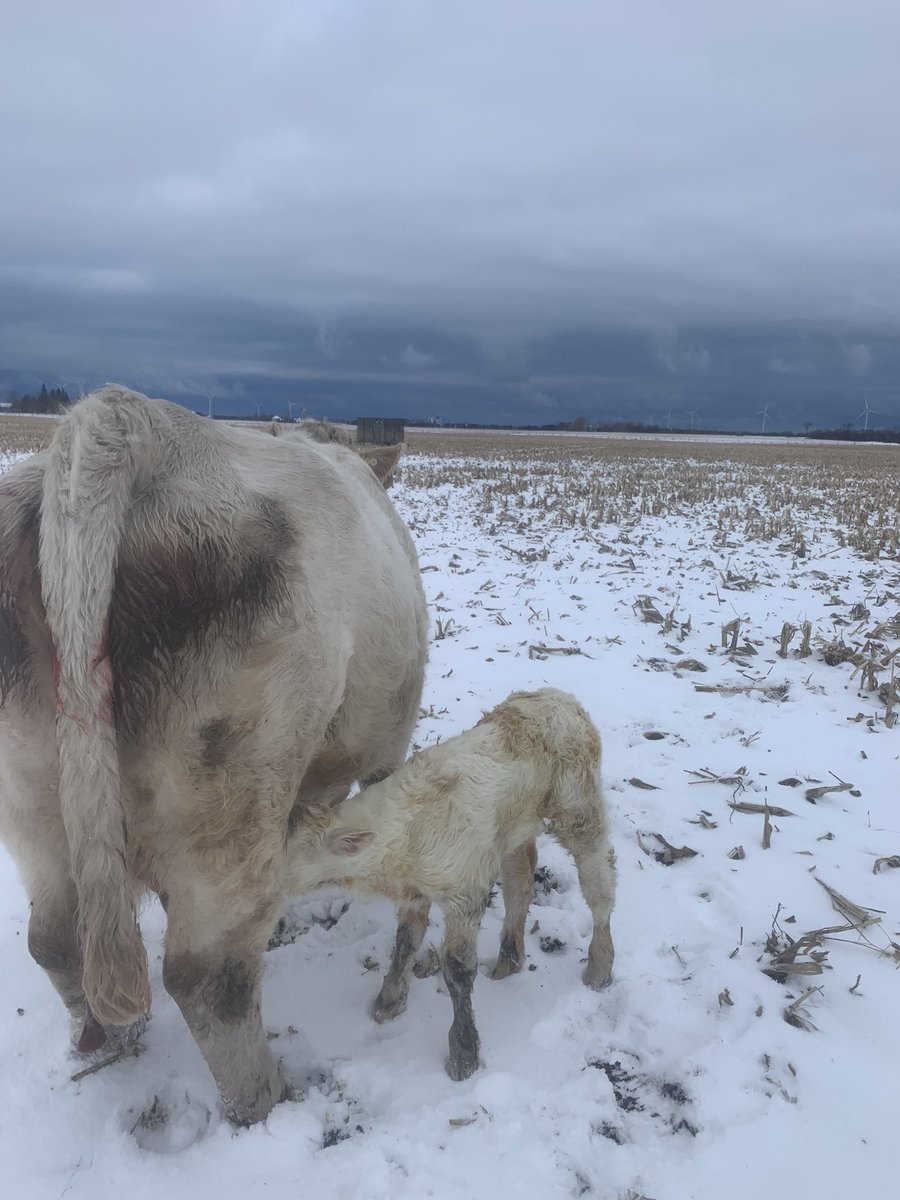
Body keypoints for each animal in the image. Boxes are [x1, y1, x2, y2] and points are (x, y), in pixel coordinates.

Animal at [0, 385, 428, 1124]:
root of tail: (129, 420)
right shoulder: (385, 748)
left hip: (31, 796)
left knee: (55, 938)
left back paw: (113, 1040)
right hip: (229, 787)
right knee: (209, 975)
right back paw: (264, 1100)